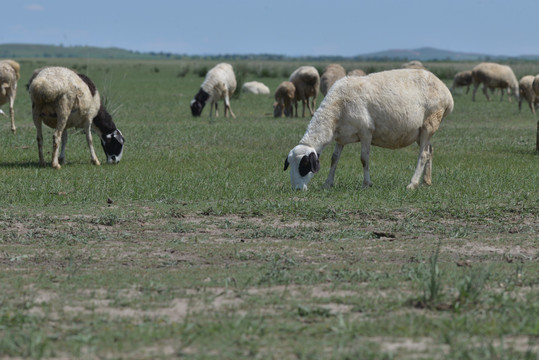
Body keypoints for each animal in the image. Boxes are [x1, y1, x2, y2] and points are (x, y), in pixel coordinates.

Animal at [284, 68, 454, 191]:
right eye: (290, 164)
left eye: (304, 165)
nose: (297, 189)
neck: (337, 109)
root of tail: (447, 94)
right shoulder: (341, 137)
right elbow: (334, 159)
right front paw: (327, 183)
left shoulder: (366, 132)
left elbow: (364, 158)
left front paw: (366, 184)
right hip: (419, 131)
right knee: (429, 150)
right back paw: (426, 181)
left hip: (430, 123)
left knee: (423, 154)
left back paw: (412, 184)